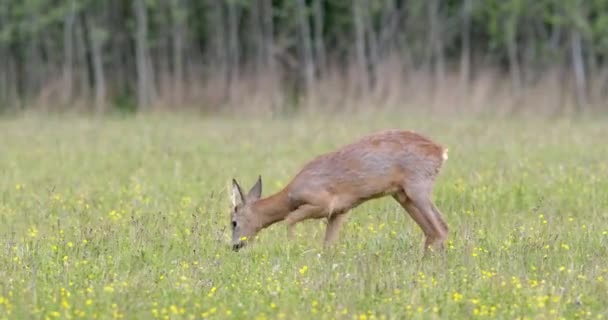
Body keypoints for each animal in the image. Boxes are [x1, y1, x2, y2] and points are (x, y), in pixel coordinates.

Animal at [230, 129, 448, 251]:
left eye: (233, 222)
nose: (235, 246)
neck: (291, 194)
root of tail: (441, 151)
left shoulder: (322, 203)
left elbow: (289, 219)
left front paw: (290, 248)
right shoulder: (339, 212)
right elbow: (327, 245)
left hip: (418, 188)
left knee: (441, 228)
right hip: (403, 195)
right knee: (432, 231)